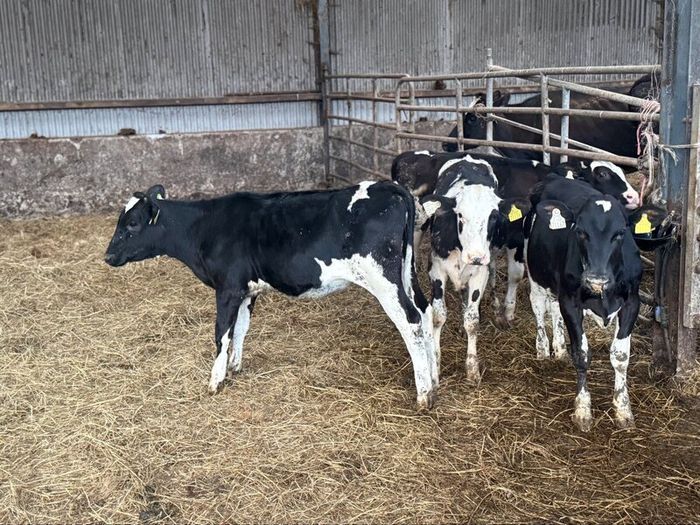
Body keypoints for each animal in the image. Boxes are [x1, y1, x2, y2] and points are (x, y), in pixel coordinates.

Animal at [104, 183, 439, 410]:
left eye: (132, 224)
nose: (107, 256)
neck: (204, 226)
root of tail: (390, 187)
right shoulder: (246, 290)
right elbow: (240, 329)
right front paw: (234, 367)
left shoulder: (227, 288)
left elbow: (221, 333)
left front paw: (215, 380)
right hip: (405, 275)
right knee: (426, 312)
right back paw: (434, 380)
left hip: (383, 279)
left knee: (411, 321)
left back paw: (423, 394)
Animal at [420, 156, 510, 382]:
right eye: (460, 215)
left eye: (493, 216)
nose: (475, 256)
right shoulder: (436, 268)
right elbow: (438, 316)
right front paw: (436, 363)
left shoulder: (480, 273)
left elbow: (472, 320)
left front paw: (472, 368)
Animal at [524, 176, 642, 431]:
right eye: (580, 231)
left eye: (620, 232)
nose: (596, 279)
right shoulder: (571, 302)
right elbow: (581, 353)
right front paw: (583, 410)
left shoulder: (632, 302)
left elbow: (620, 356)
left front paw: (623, 409)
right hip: (535, 274)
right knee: (538, 307)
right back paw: (543, 348)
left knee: (553, 310)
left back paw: (558, 348)